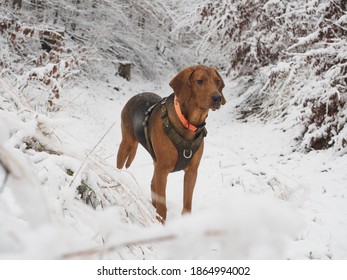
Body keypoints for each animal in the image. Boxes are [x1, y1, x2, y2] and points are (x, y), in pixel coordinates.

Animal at [117, 65, 226, 221]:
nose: (218, 98)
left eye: (217, 81)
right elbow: (162, 206)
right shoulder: (163, 170)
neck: (188, 124)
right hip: (127, 144)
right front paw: (160, 222)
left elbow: (187, 204)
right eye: (200, 81)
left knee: (152, 184)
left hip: (155, 161)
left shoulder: (191, 172)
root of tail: (137, 96)